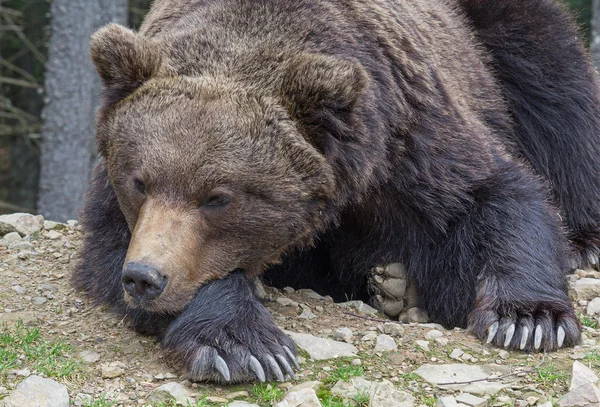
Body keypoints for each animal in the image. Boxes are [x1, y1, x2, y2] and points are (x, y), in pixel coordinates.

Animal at [71, 0, 600, 384]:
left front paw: (529, 319)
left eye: (218, 197)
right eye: (140, 182)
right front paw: (240, 345)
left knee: (554, 86)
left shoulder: (407, 135)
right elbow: (112, 246)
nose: (145, 278)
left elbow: (493, 194)